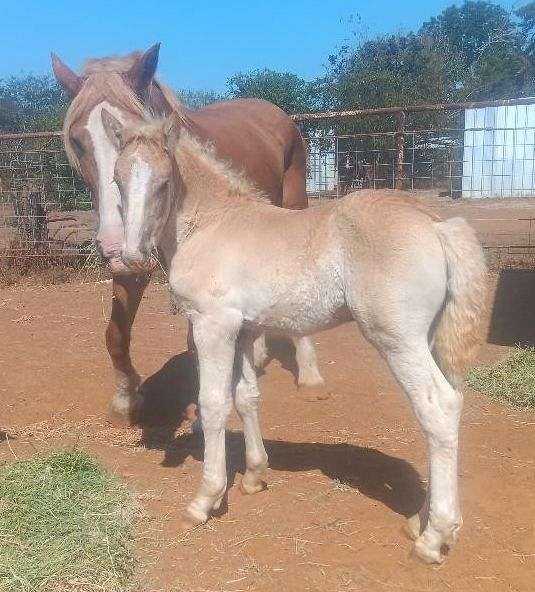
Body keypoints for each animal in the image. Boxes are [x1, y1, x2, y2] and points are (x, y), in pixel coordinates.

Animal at [52, 44, 324, 420]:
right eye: (78, 142)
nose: (113, 243)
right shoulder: (135, 265)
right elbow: (116, 335)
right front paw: (126, 397)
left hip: (293, 205)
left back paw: (310, 375)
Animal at [103, 112, 490, 564]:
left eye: (164, 183)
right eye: (116, 180)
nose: (131, 259)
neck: (211, 222)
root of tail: (438, 224)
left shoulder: (213, 325)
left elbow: (214, 404)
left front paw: (205, 499)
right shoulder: (244, 328)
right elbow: (246, 397)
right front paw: (254, 476)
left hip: (398, 340)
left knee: (438, 407)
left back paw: (433, 538)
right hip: (430, 338)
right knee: (450, 406)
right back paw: (420, 522)